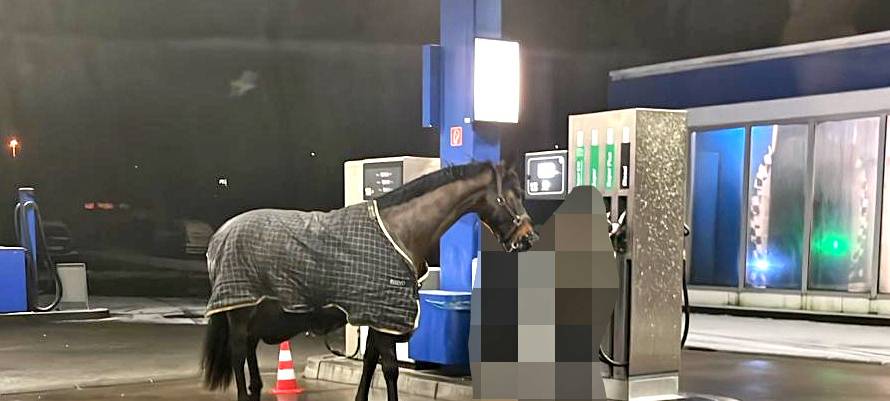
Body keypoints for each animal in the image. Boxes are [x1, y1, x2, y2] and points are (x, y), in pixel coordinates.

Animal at [201, 161, 539, 401]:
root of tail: (220, 235)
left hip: (257, 312)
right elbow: (389, 370)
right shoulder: (384, 317)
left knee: (250, 355)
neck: (399, 230)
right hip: (240, 311)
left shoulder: (378, 317)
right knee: (238, 354)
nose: (528, 238)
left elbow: (369, 364)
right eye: (510, 197)